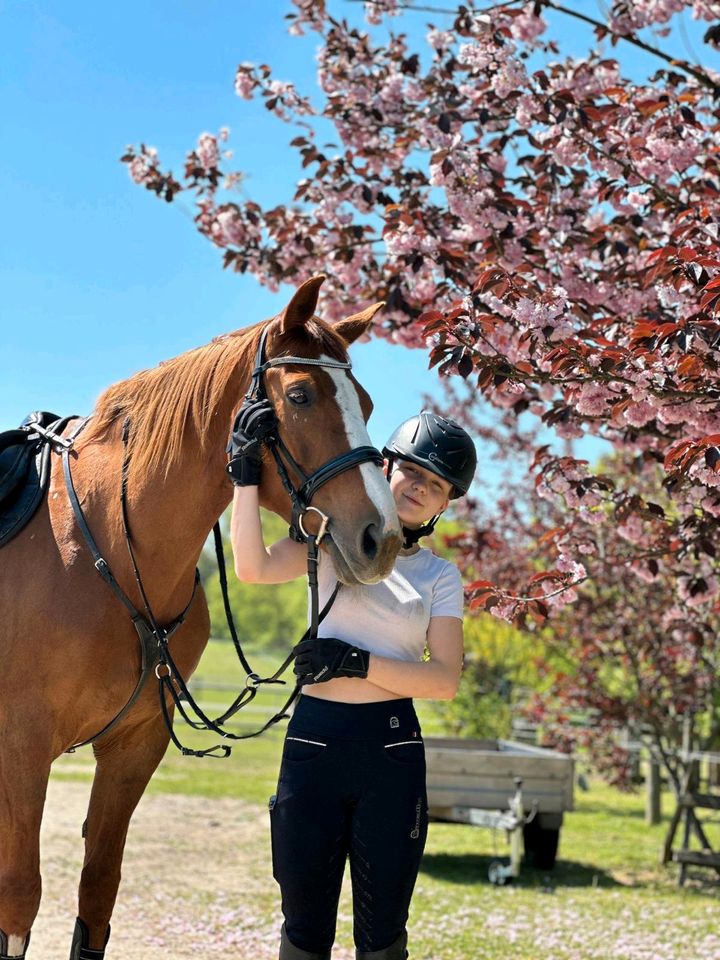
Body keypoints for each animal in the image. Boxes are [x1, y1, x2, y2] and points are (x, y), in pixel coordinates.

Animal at [0, 274, 404, 956]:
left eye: (367, 404)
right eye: (299, 396)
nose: (382, 537)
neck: (104, 544)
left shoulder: (135, 746)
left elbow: (97, 890)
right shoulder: (20, 745)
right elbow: (19, 898)